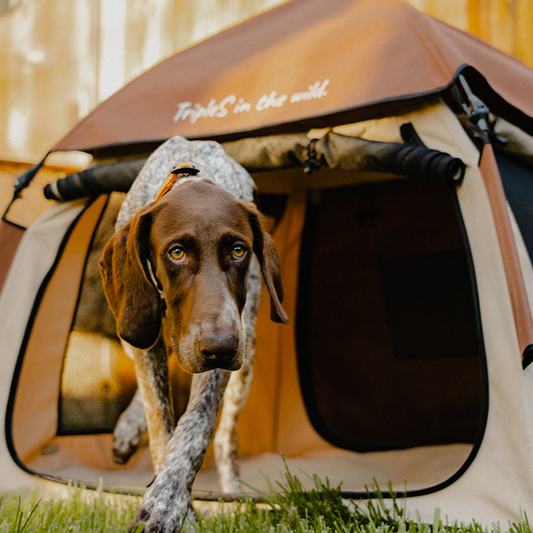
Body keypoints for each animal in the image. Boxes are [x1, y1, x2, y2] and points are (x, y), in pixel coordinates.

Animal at [99, 137, 286, 532]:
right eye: (177, 252)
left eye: (238, 250)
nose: (221, 347)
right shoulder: (148, 341)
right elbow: (160, 426)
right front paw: (172, 503)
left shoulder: (227, 341)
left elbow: (195, 428)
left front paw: (170, 501)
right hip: (133, 332)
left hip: (245, 359)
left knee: (226, 440)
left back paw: (232, 494)